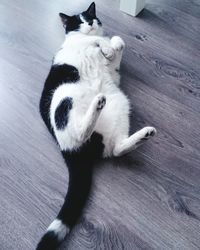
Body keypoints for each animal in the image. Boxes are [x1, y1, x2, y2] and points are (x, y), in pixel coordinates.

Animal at [37, 2, 156, 250]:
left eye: (91, 17)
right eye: (79, 21)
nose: (90, 23)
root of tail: (69, 150)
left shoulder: (114, 72)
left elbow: (117, 45)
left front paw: (114, 45)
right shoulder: (77, 42)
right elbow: (93, 40)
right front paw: (106, 45)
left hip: (120, 102)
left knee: (117, 149)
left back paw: (142, 135)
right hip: (64, 96)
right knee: (80, 132)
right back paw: (96, 104)